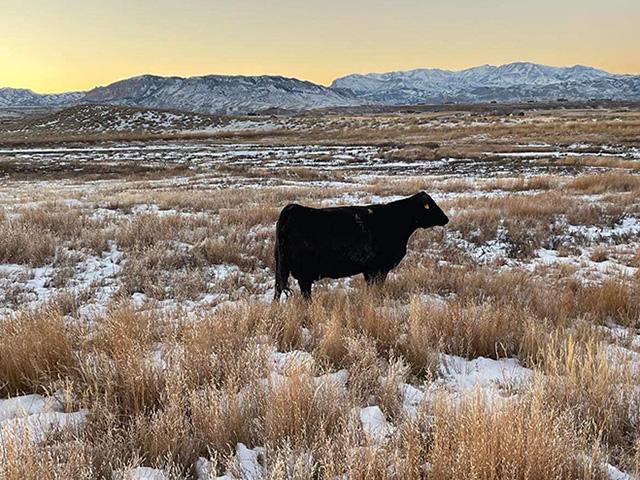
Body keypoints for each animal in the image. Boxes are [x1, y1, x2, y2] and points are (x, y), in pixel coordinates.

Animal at [273, 192, 449, 300]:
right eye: (431, 205)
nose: (446, 218)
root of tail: (293, 208)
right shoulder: (378, 268)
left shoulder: (369, 270)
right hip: (304, 272)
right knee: (304, 293)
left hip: (281, 266)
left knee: (278, 289)